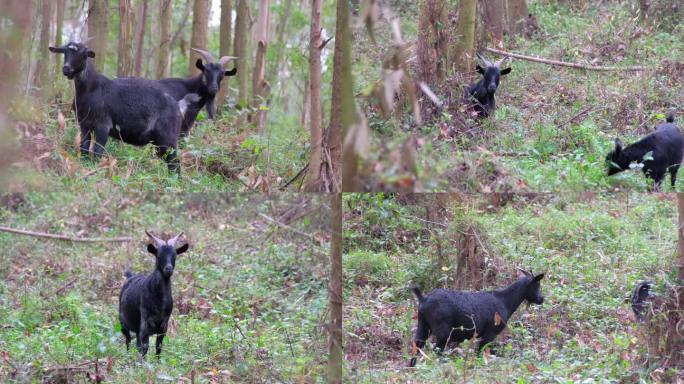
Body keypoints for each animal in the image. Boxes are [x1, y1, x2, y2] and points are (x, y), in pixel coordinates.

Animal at [48, 41, 184, 172]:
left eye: (83, 55)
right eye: (64, 52)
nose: (66, 69)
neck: (92, 88)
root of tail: (177, 107)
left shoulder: (103, 125)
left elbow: (98, 151)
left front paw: (95, 169)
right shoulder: (84, 124)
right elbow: (84, 147)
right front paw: (85, 166)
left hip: (168, 136)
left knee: (174, 161)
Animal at [117, 230, 187, 358]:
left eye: (175, 256)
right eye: (158, 255)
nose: (168, 269)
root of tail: (130, 277)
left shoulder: (164, 326)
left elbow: (158, 347)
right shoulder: (145, 323)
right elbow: (144, 347)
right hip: (123, 322)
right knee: (128, 340)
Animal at [406, 268, 544, 368]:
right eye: (537, 285)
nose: (542, 299)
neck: (506, 302)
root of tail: (423, 299)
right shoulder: (490, 333)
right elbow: (481, 353)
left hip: (422, 326)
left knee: (416, 347)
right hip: (442, 333)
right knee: (436, 351)